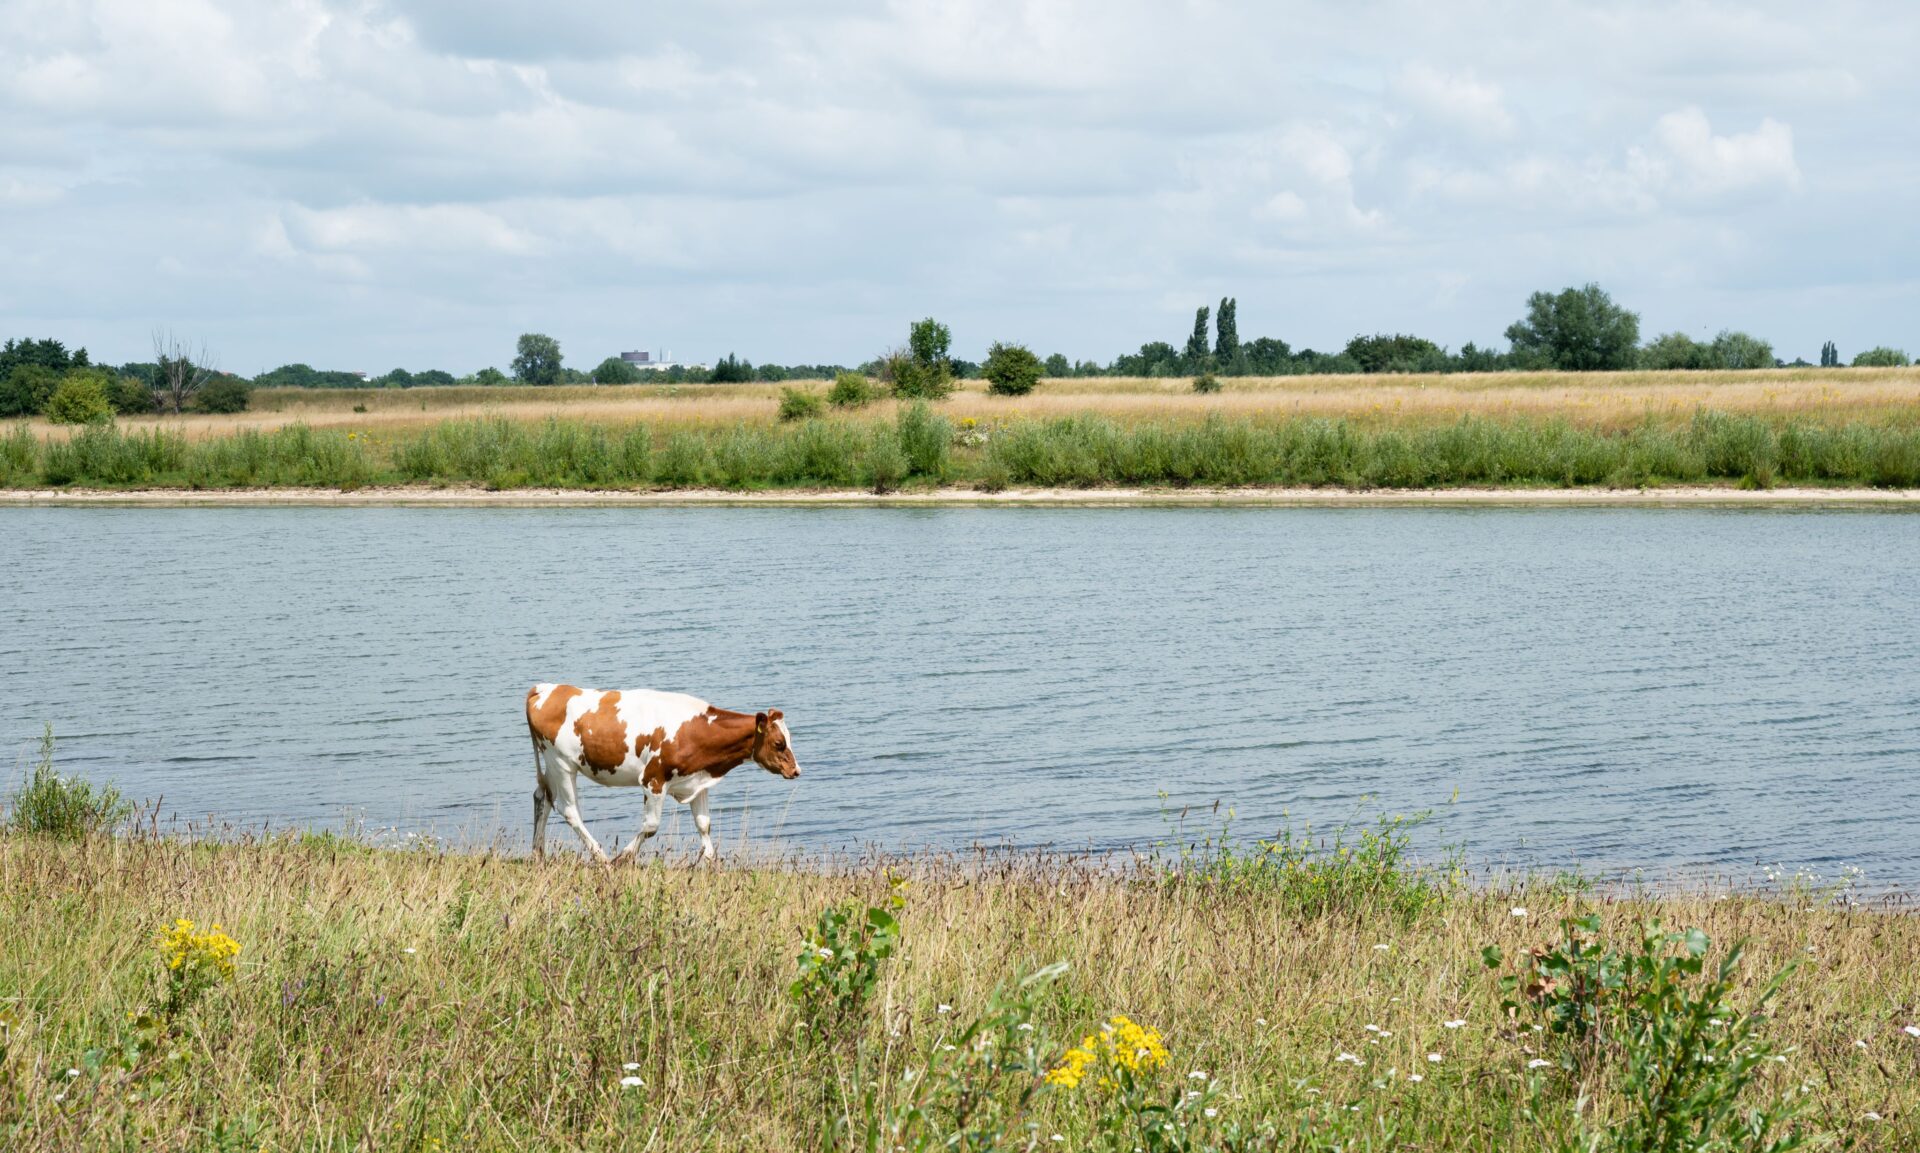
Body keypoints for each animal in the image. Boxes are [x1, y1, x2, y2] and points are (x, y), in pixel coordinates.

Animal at [525, 683, 800, 864]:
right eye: (779, 743)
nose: (796, 770)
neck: (694, 731)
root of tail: (546, 688)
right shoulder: (653, 779)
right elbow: (651, 826)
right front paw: (622, 858)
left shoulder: (696, 780)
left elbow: (704, 824)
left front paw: (712, 865)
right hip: (561, 763)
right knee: (569, 810)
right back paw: (601, 858)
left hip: (551, 763)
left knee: (543, 797)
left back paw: (538, 854)